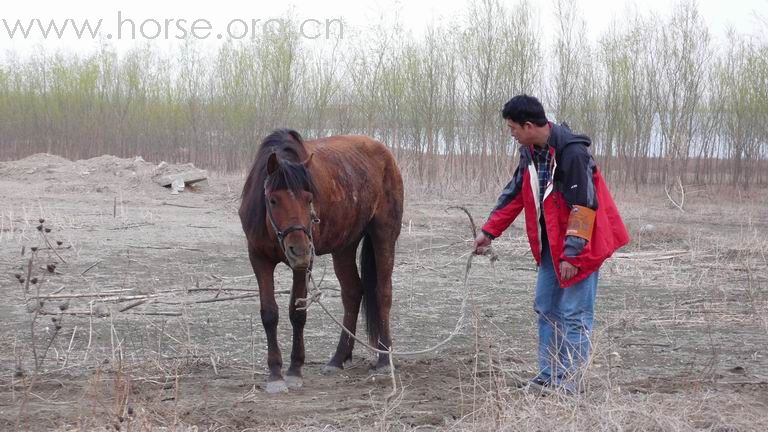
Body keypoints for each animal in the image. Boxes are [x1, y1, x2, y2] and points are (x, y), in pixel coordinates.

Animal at [240, 129, 404, 394]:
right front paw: (275, 374)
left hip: (384, 235)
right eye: (273, 200)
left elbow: (297, 313)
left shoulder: (303, 266)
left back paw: (383, 359)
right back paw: (338, 359)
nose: (299, 249)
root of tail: (385, 153)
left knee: (382, 293)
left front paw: (294, 371)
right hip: (345, 245)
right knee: (352, 292)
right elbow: (269, 314)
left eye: (309, 199)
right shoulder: (258, 258)